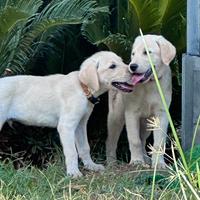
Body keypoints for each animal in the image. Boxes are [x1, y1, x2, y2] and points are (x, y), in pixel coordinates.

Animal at [0, 51, 134, 177]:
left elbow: (84, 147)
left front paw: (91, 166)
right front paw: (73, 173)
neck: (82, 88)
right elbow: (72, 152)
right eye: (112, 66)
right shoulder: (66, 126)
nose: (133, 71)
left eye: (122, 61)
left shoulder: (80, 124)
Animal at [105, 35, 176, 168]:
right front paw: (137, 161)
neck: (149, 84)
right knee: (111, 140)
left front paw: (158, 164)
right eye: (133, 54)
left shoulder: (162, 114)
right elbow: (135, 140)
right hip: (116, 116)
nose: (132, 66)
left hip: (147, 122)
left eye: (147, 52)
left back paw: (146, 158)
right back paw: (111, 162)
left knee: (143, 139)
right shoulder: (131, 113)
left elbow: (158, 142)